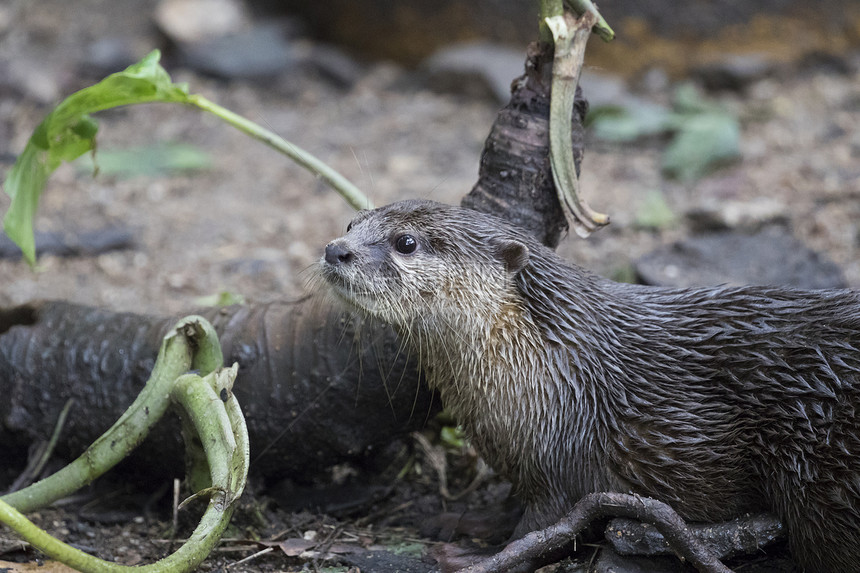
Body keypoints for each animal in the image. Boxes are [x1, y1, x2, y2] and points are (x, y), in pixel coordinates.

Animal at [320, 199, 860, 568]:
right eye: (351, 224)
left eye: (406, 242)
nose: (335, 249)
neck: (561, 373)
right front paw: (461, 520)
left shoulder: (563, 454)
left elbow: (541, 529)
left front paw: (474, 556)